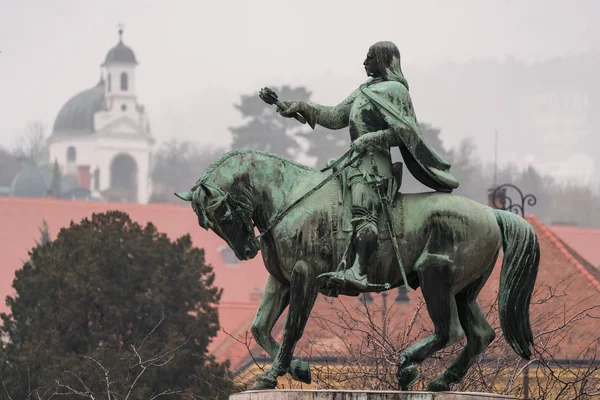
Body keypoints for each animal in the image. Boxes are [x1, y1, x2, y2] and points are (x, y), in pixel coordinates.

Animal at [175, 148, 540, 392]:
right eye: (206, 224)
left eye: (222, 216)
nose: (246, 251)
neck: (290, 197)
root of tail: (491, 213)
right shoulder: (279, 281)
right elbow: (260, 328)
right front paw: (291, 370)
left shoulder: (304, 277)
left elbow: (292, 327)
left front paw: (276, 372)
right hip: (464, 291)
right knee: (480, 335)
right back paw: (440, 380)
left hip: (435, 279)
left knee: (449, 331)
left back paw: (408, 366)